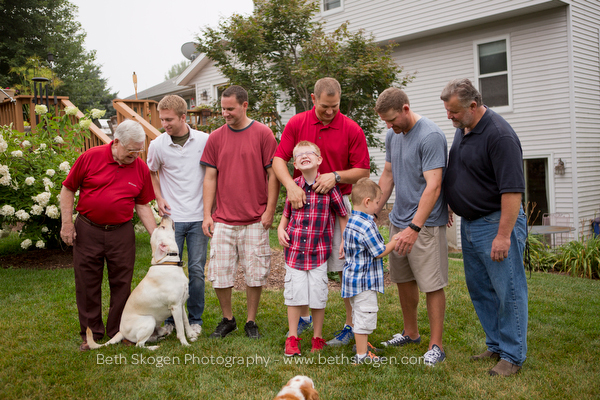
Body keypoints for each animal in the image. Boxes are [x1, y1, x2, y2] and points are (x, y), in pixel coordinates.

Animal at [86, 216, 197, 350]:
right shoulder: (175, 306)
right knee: (139, 345)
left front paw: (191, 334)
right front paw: (185, 343)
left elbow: (186, 321)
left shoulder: (181, 303)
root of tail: (121, 332)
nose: (164, 215)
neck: (168, 262)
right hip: (150, 320)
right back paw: (154, 348)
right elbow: (180, 329)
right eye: (162, 227)